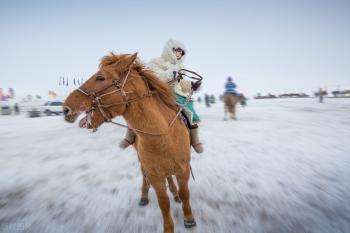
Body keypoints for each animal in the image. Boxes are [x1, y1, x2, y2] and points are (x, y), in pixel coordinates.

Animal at [63, 52, 197, 233]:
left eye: (100, 77)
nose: (66, 108)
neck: (164, 138)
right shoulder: (154, 174)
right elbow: (163, 203)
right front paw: (169, 227)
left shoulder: (183, 170)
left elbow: (185, 194)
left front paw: (189, 218)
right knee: (145, 175)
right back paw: (144, 196)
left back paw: (174, 193)